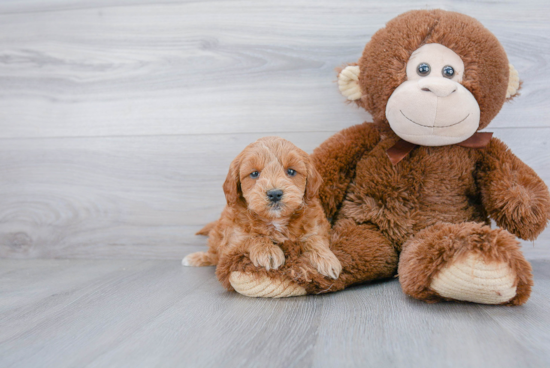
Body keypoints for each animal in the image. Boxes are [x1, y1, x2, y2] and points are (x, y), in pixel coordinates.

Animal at [183, 137, 342, 280]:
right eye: (254, 173)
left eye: (291, 171)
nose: (274, 194)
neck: (275, 220)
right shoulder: (232, 241)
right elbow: (252, 238)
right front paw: (268, 251)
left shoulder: (317, 225)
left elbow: (314, 238)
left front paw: (327, 259)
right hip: (217, 236)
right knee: (213, 254)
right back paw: (196, 258)